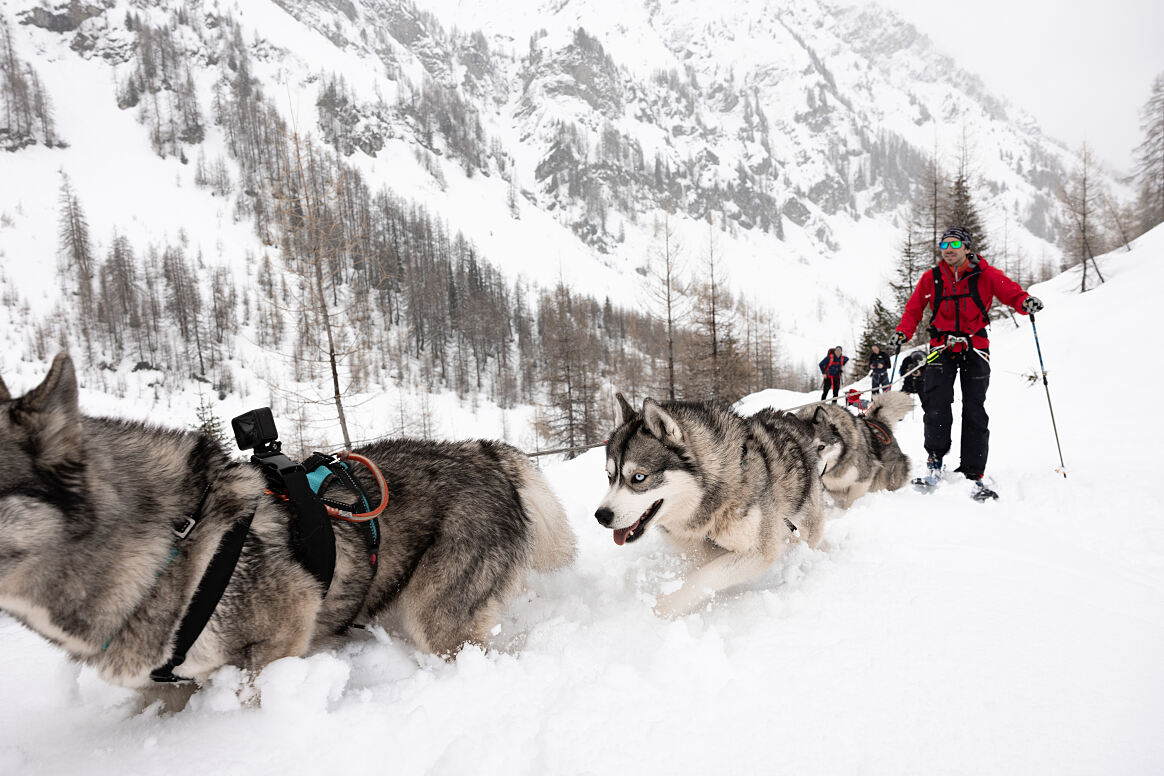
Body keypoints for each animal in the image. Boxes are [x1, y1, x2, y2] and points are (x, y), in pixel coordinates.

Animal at [595, 395, 824, 618]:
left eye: (639, 477)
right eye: (609, 476)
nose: (601, 516)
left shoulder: (759, 551)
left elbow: (702, 577)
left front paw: (658, 611)